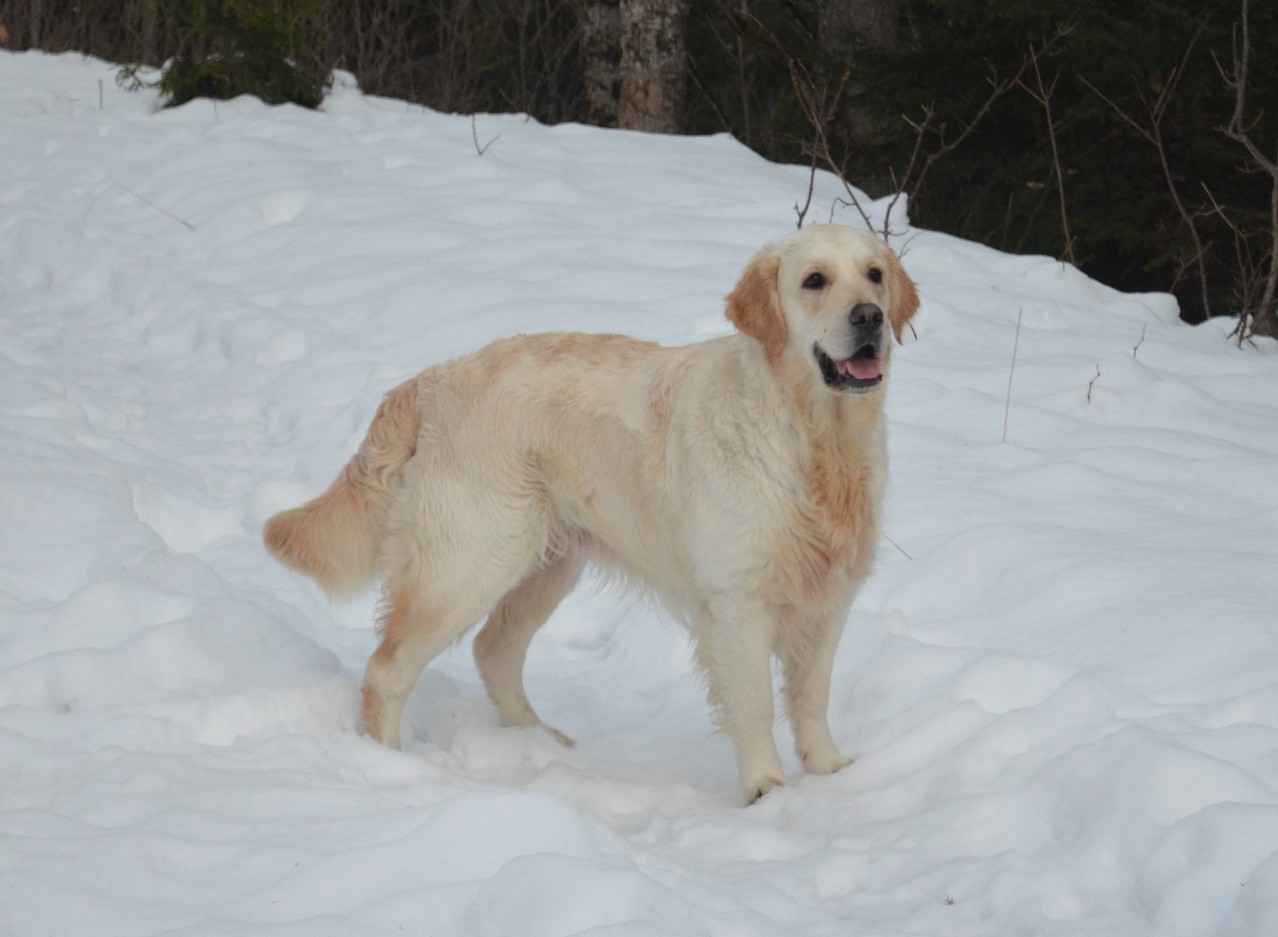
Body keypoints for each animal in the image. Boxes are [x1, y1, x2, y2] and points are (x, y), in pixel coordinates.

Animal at [264, 222, 915, 802]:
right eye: (814, 281)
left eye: (874, 276)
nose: (869, 318)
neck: (812, 440)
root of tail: (435, 379)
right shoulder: (737, 602)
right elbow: (754, 702)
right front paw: (767, 789)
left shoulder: (831, 595)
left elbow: (812, 695)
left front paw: (829, 771)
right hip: (472, 560)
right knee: (388, 670)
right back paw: (391, 767)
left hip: (546, 561)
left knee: (494, 650)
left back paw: (540, 743)